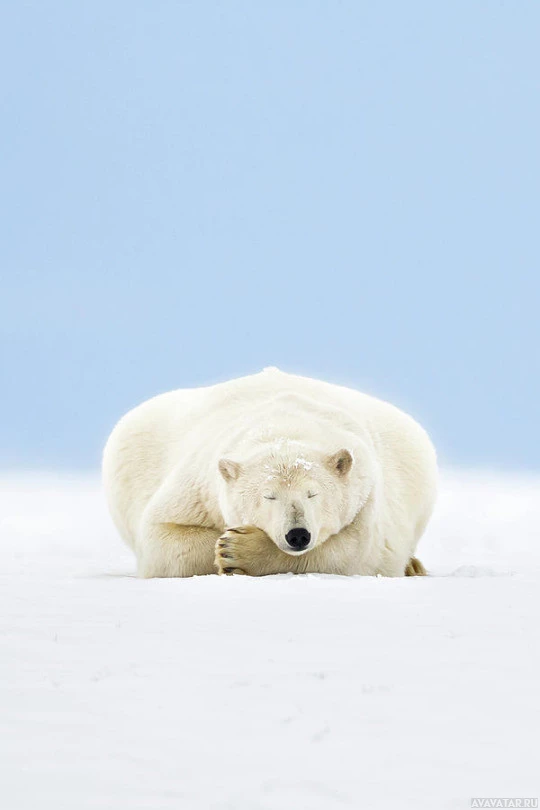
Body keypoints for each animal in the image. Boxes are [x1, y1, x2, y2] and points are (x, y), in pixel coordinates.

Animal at [102, 366, 438, 576]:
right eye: (268, 496)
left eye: (313, 494)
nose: (298, 534)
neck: (284, 422)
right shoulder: (198, 487)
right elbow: (162, 538)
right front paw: (225, 546)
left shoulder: (366, 493)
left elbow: (357, 551)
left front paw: (239, 550)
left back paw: (414, 566)